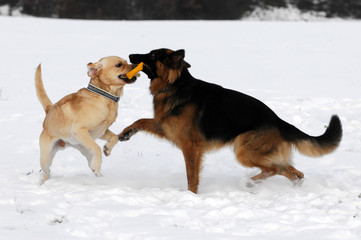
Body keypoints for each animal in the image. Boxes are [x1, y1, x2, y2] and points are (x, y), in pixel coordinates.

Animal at [117, 48, 340, 193]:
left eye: (153, 55)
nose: (130, 56)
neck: (175, 85)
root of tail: (278, 120)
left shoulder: (190, 145)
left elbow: (191, 175)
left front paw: (191, 195)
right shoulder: (166, 127)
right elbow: (141, 120)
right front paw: (125, 133)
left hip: (243, 150)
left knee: (275, 169)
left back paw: (251, 183)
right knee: (294, 172)